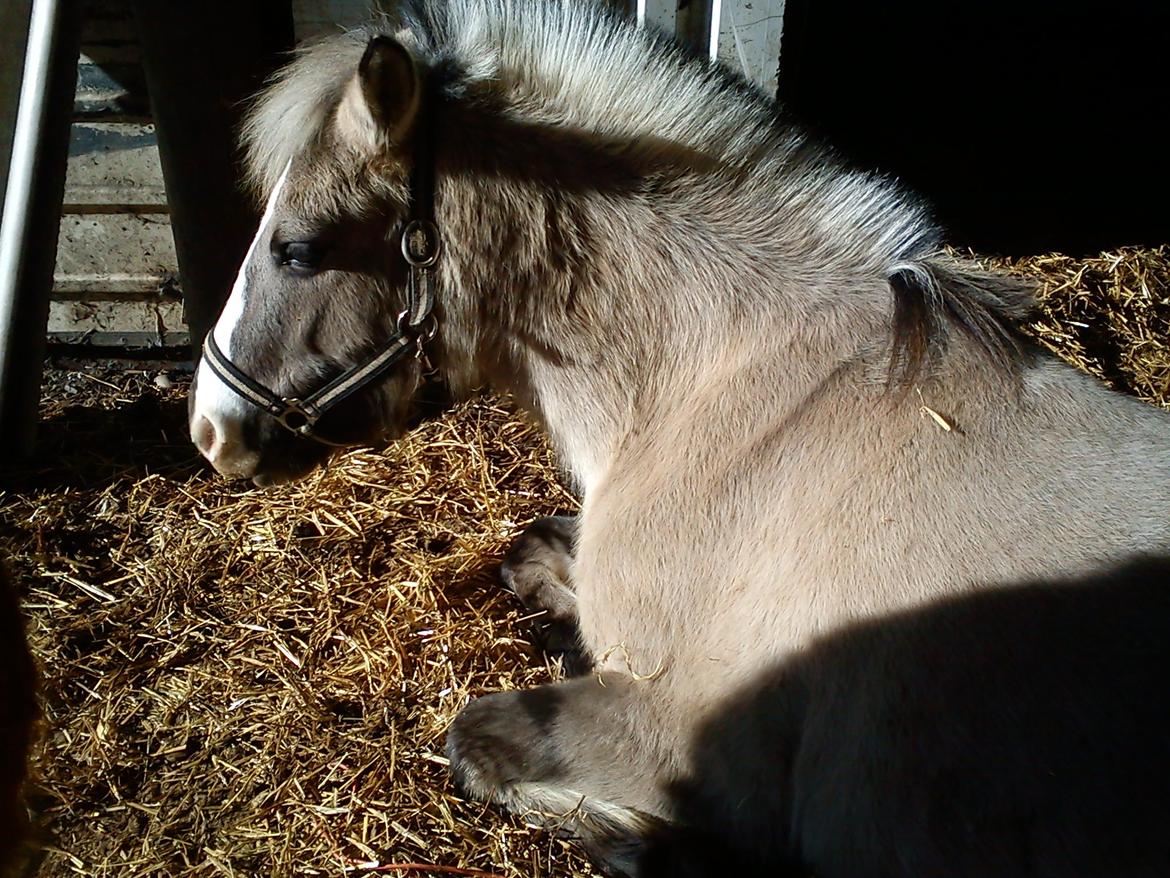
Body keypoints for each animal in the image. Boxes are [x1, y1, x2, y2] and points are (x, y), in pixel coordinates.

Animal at [188, 1, 1170, 874]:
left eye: (300, 250)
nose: (209, 430)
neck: (734, 386)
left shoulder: (679, 730)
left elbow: (480, 743)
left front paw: (650, 846)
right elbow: (531, 551)